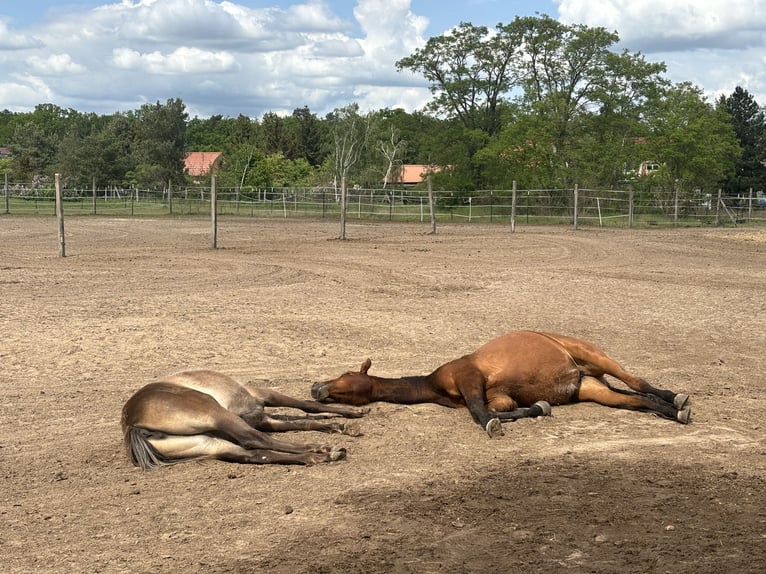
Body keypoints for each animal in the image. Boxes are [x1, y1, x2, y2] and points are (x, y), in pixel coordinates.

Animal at [121, 372, 370, 470]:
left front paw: (338, 426)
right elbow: (307, 406)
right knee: (255, 440)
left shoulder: (263, 418)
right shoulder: (264, 396)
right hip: (218, 414)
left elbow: (301, 423)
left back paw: (320, 455)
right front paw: (352, 417)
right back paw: (324, 452)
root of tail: (133, 424)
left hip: (209, 444)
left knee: (256, 454)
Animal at [308, 330, 692, 438]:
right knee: (635, 399)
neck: (435, 383)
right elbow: (503, 408)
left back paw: (678, 398)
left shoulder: (469, 379)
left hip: (594, 357)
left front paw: (509, 419)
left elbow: (481, 415)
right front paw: (539, 407)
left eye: (345, 376)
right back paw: (674, 412)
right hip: (592, 388)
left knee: (637, 381)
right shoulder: (499, 396)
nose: (315, 388)